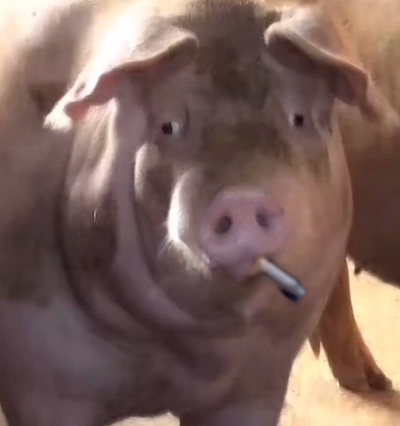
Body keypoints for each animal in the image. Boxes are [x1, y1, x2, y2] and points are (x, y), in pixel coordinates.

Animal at [0, 0, 393, 425]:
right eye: (167, 125)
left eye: (299, 118)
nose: (241, 197)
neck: (186, 353)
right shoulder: (43, 380)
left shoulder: (260, 382)